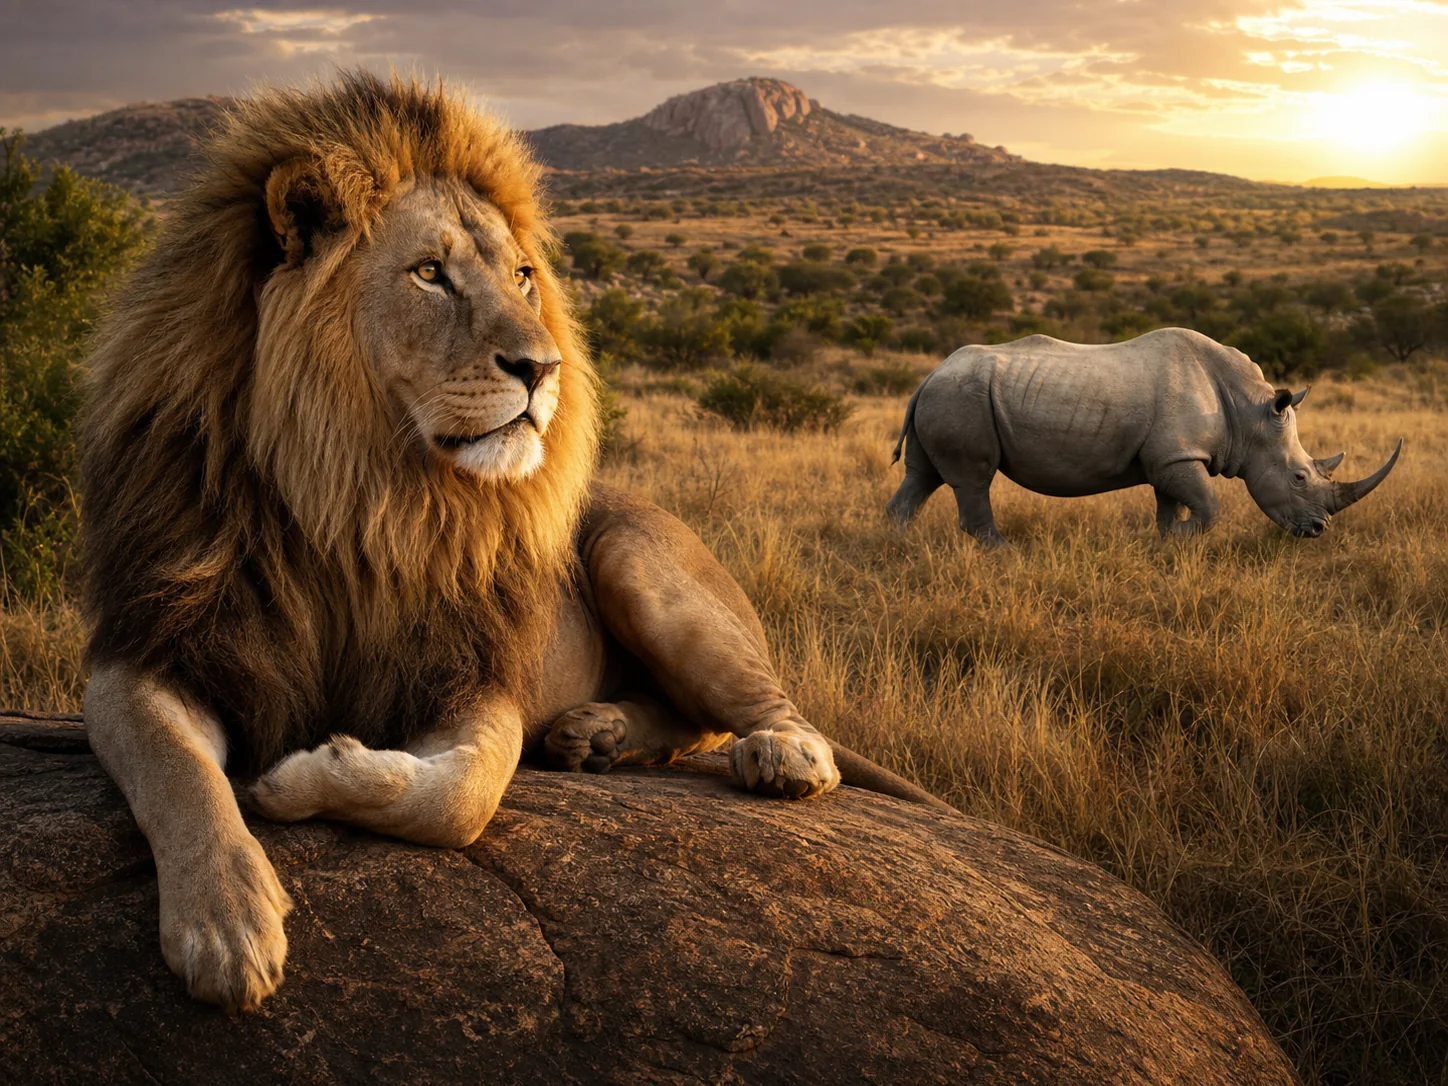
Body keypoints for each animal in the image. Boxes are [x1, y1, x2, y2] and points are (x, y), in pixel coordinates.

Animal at [79, 71, 947, 1014]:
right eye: (430, 274)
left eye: (524, 277)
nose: (543, 368)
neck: (357, 499)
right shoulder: (153, 649)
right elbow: (177, 774)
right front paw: (226, 922)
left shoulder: (470, 673)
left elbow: (457, 797)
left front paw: (298, 777)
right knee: (689, 723)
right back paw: (594, 736)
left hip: (636, 561)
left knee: (757, 714)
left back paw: (774, 755)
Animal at [887, 328, 1401, 546]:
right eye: (1298, 477)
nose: (1318, 531)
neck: (1250, 414)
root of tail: (930, 374)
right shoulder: (1177, 456)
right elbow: (1211, 506)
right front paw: (1182, 538)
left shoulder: (1172, 457)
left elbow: (1170, 504)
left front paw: (1166, 542)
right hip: (962, 398)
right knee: (974, 479)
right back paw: (1005, 552)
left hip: (949, 395)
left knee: (923, 477)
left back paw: (897, 545)